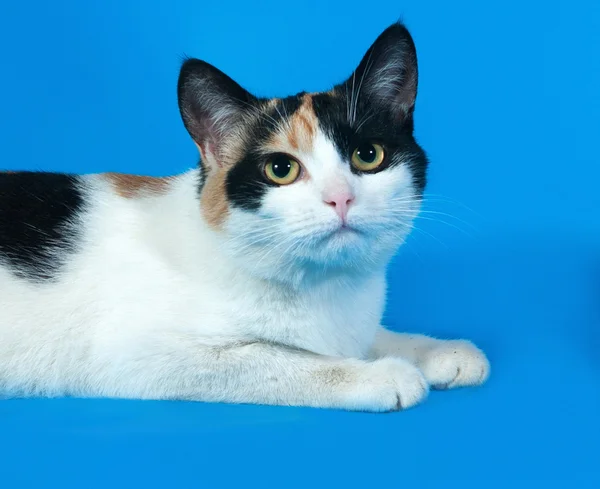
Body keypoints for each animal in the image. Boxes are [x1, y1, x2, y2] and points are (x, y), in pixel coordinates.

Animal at [0, 23, 488, 412]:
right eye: (280, 169)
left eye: (367, 156)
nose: (340, 199)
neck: (322, 286)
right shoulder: (135, 355)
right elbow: (279, 359)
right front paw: (381, 374)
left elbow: (369, 335)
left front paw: (437, 351)